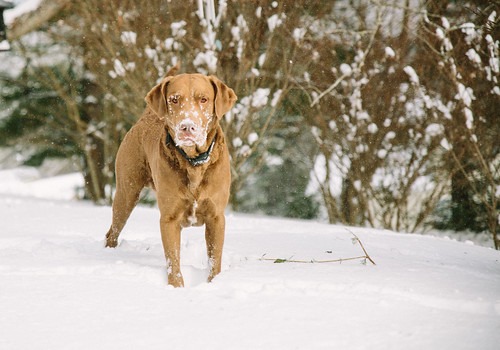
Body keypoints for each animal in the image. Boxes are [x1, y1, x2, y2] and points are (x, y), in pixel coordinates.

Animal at [104, 69, 237, 288]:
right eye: (174, 99)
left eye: (203, 99)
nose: (187, 127)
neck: (193, 163)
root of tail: (146, 116)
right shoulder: (169, 218)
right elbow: (173, 260)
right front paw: (176, 288)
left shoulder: (217, 218)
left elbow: (214, 259)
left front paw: (213, 284)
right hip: (127, 192)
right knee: (113, 231)